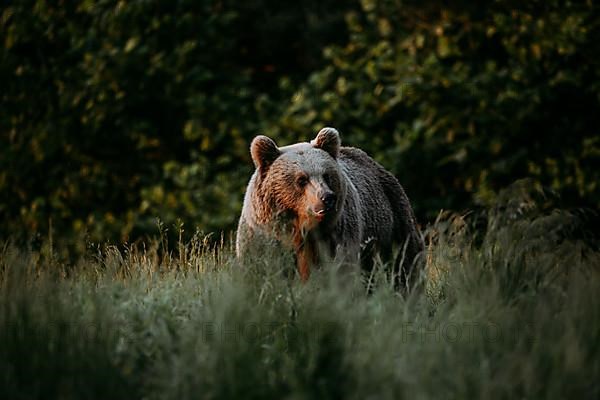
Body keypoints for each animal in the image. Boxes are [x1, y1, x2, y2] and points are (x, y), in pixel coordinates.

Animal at [237, 126, 424, 290]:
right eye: (301, 179)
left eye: (327, 175)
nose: (327, 198)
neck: (300, 228)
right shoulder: (264, 236)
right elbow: (261, 270)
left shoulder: (335, 236)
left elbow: (338, 271)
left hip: (392, 224)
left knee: (405, 264)